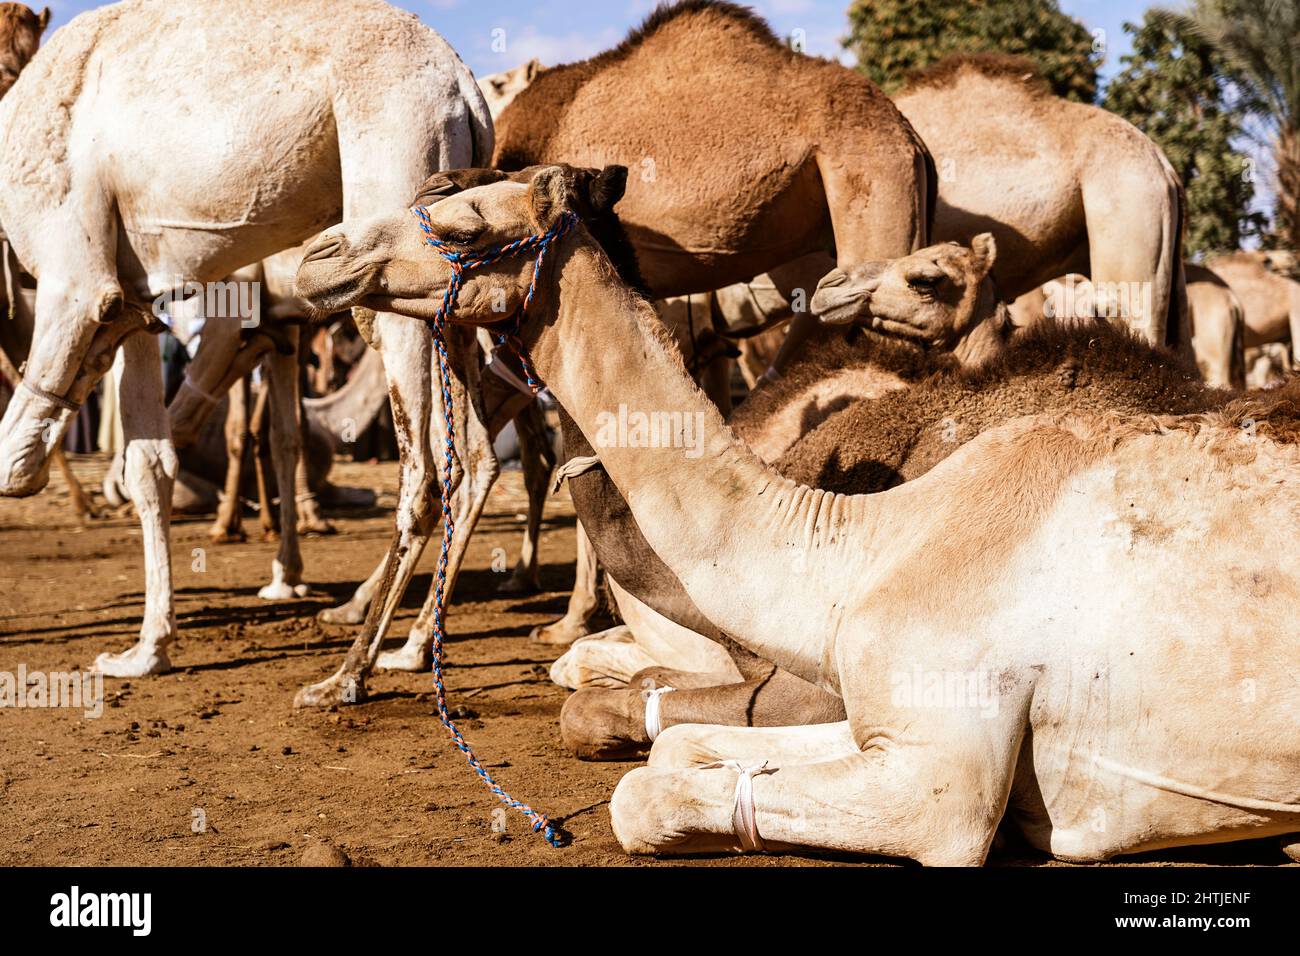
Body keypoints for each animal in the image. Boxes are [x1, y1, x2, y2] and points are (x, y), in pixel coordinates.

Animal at [0, 0, 491, 676]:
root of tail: (466, 86)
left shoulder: (76, 278)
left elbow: (10, 463)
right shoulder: (134, 299)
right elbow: (147, 464)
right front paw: (147, 650)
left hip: (399, 174)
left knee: (425, 470)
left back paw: (351, 670)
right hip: (452, 277)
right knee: (473, 457)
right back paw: (414, 645)